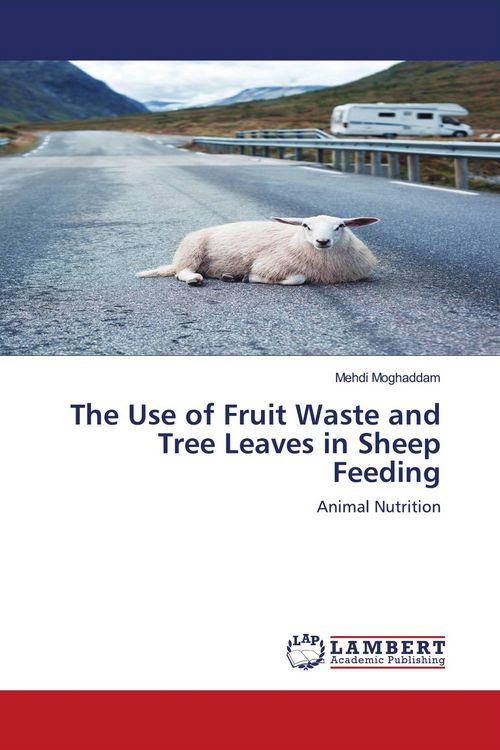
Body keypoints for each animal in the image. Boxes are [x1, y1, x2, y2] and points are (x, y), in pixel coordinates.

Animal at [136, 214, 380, 286]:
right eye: (305, 226)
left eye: (341, 226)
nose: (322, 241)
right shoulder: (270, 264)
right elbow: (298, 278)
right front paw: (248, 277)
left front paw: (240, 276)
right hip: (192, 249)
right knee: (182, 272)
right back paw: (195, 279)